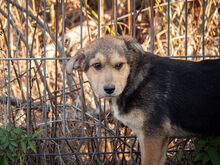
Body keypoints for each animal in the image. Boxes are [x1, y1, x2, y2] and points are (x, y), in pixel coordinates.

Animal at [65, 35, 220, 164]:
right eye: (97, 66)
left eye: (119, 65)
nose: (109, 89)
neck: (134, 80)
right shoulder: (154, 138)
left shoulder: (152, 135)